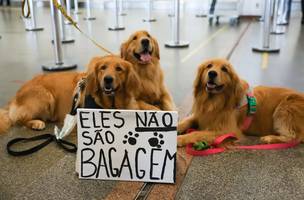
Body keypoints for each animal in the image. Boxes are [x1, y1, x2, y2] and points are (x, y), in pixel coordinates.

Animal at [0, 55, 142, 134]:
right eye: (103, 67)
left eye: (119, 69)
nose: (108, 79)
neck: (112, 102)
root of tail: (15, 97)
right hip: (45, 95)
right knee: (18, 119)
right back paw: (36, 123)